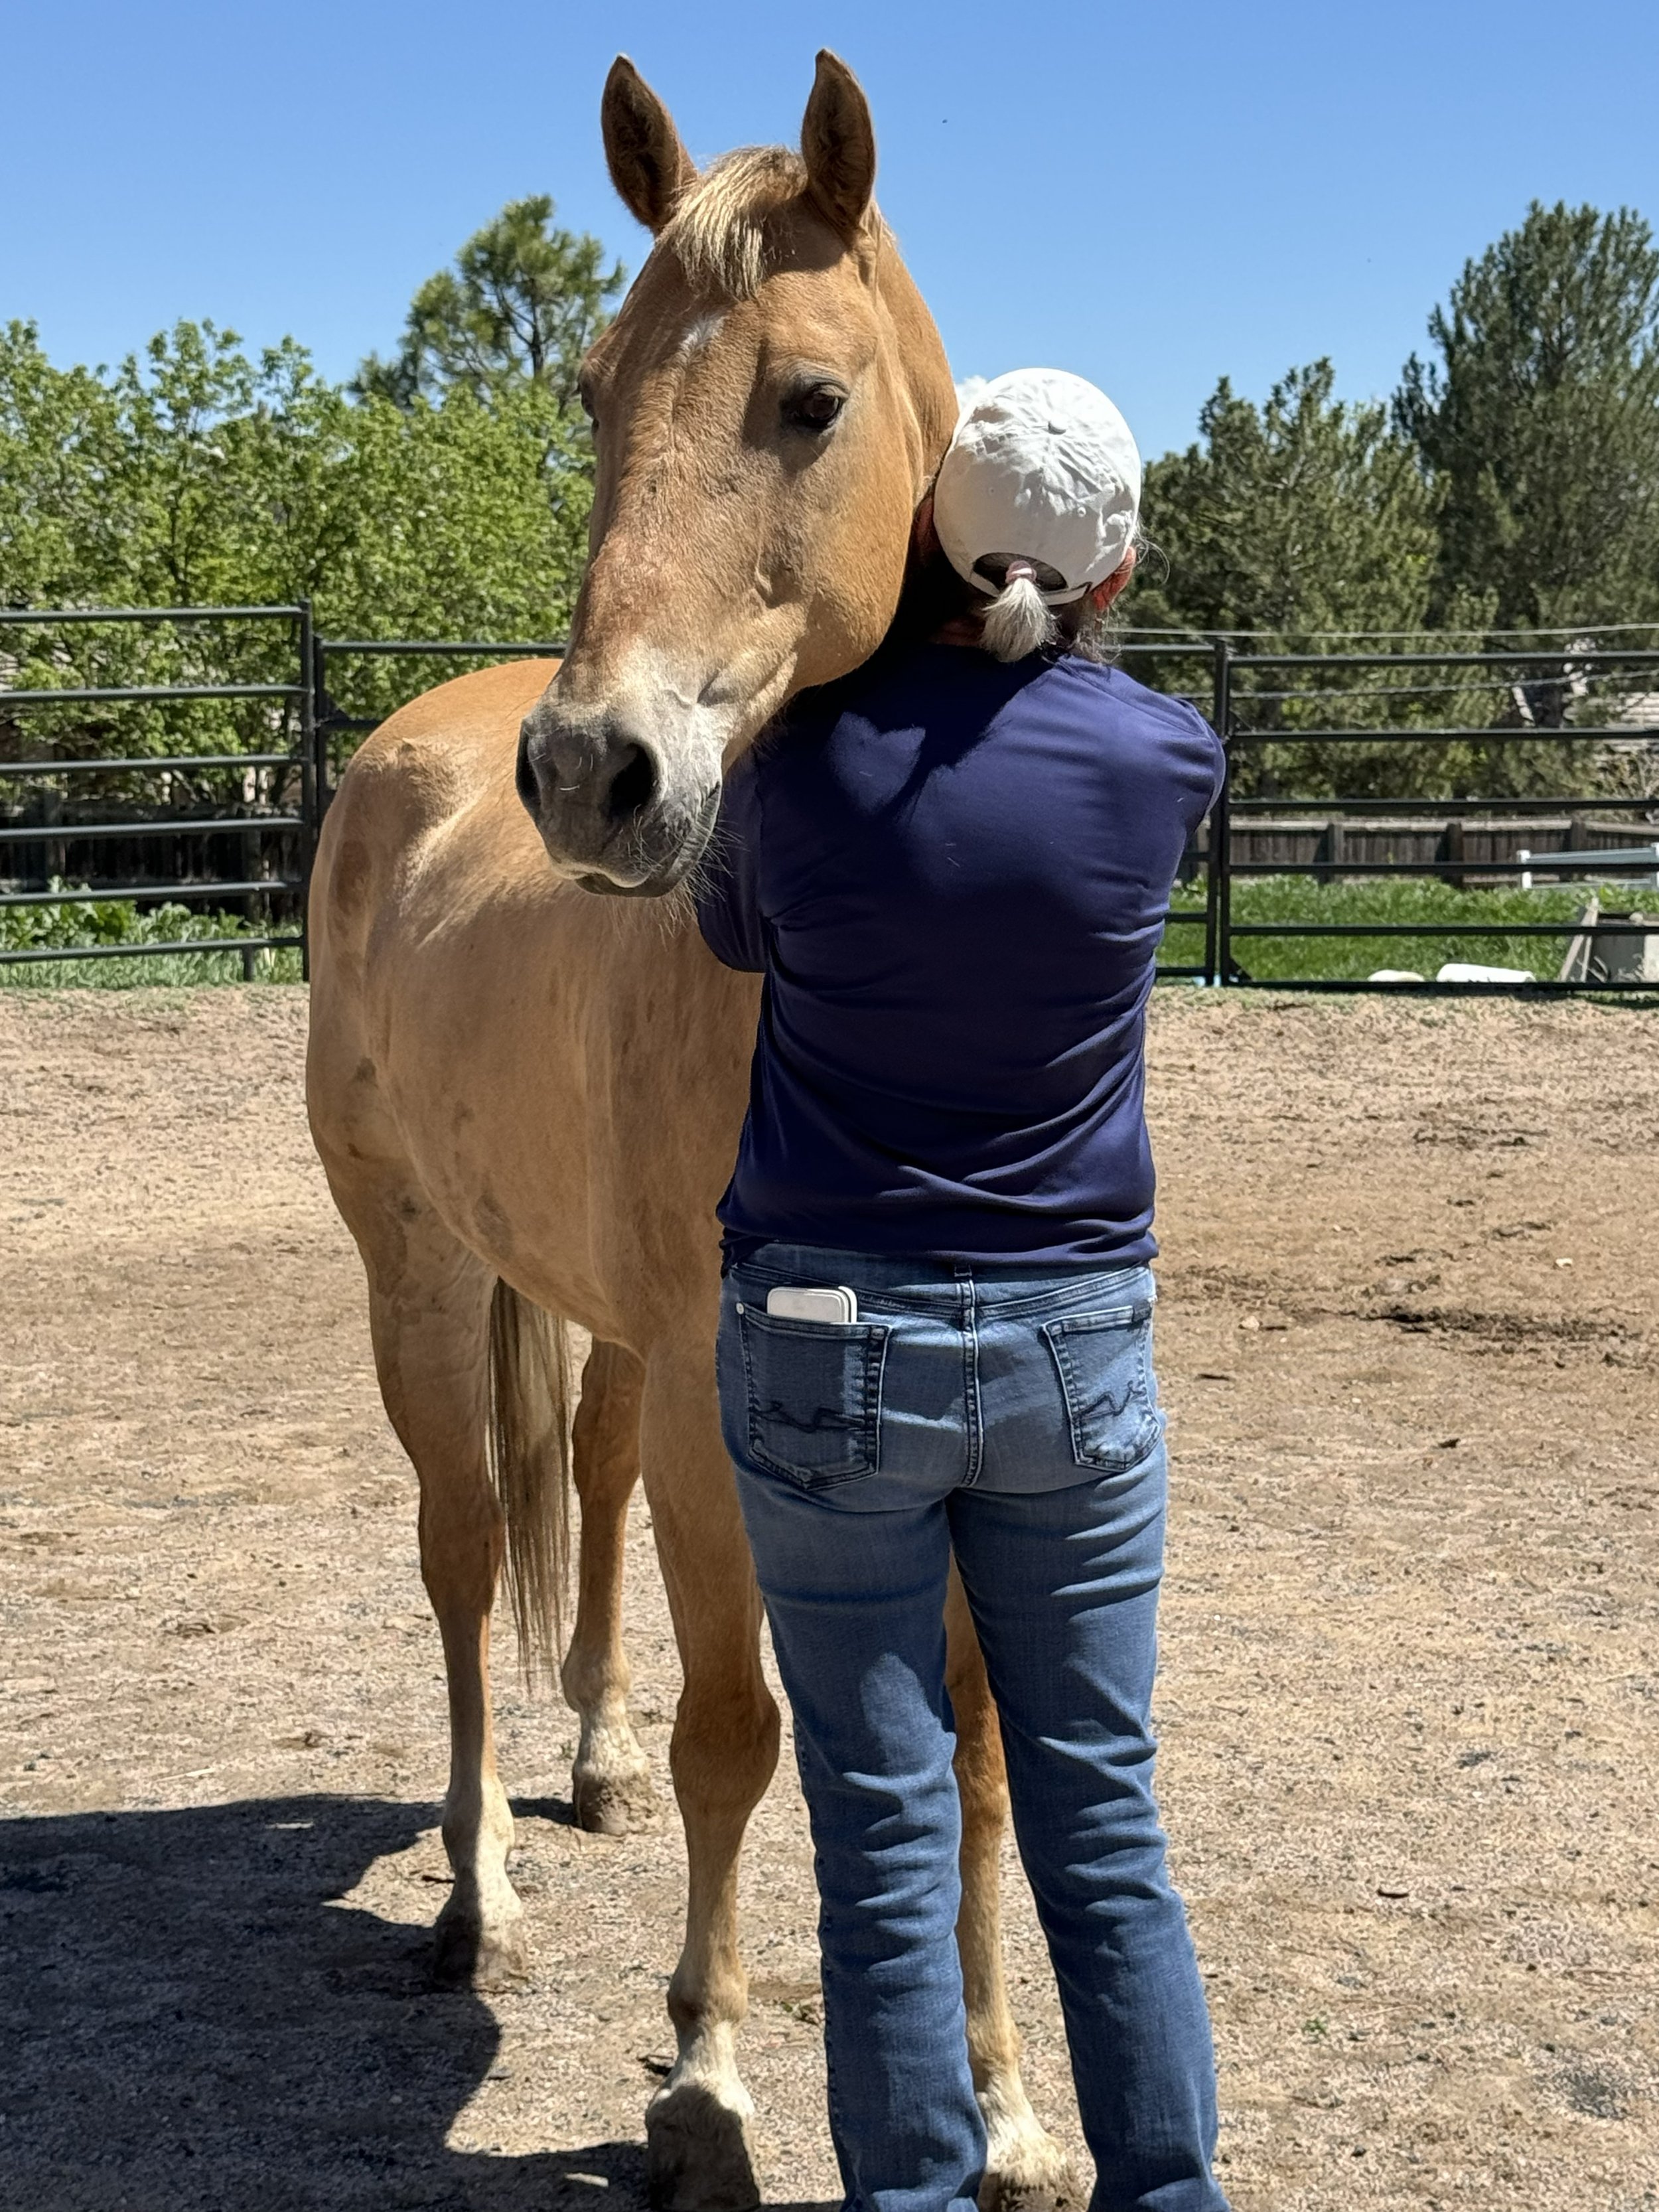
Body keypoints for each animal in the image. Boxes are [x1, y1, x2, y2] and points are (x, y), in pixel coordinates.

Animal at [307, 52, 1070, 2212]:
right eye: (589, 393)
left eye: (805, 399)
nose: (590, 772)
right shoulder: (743, 1443)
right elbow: (742, 1730)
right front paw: (710, 2086)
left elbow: (977, 1739)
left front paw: (1007, 2108)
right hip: (417, 1271)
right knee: (466, 1546)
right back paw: (478, 1891)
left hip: (606, 1327)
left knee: (585, 1473)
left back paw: (585, 1759)